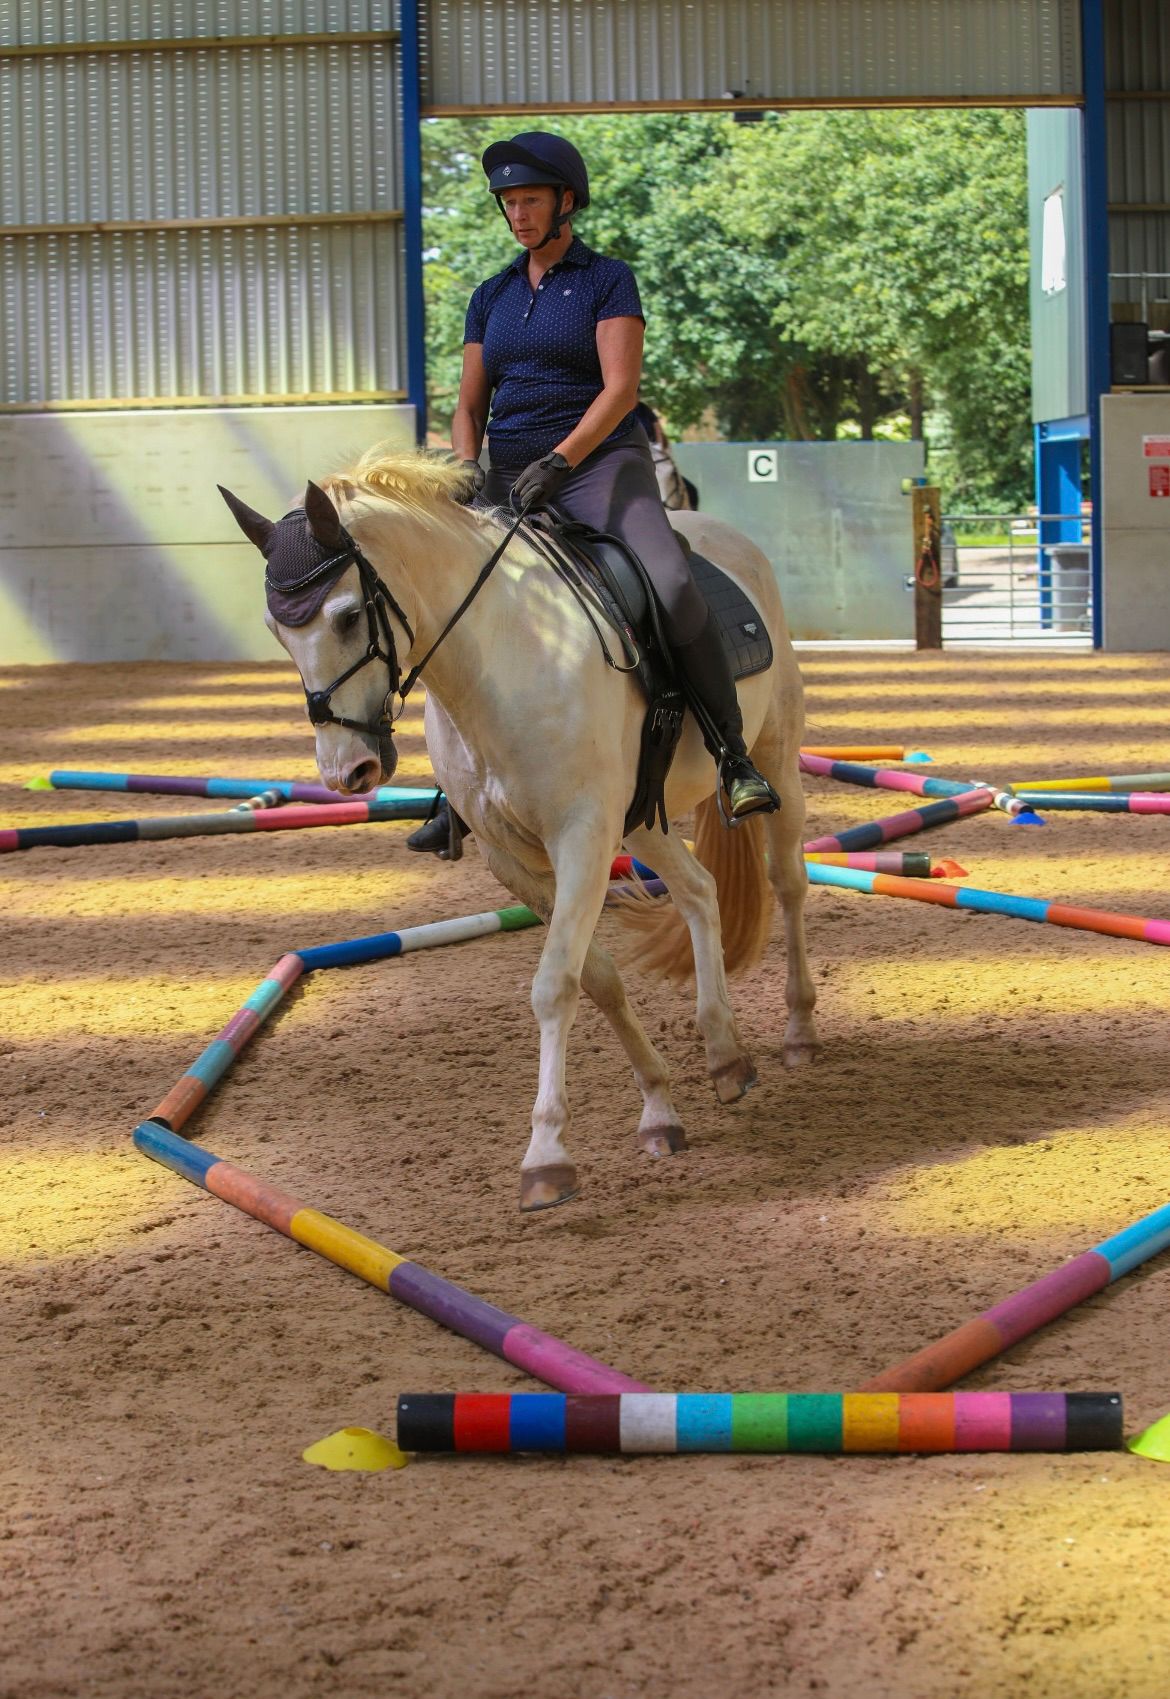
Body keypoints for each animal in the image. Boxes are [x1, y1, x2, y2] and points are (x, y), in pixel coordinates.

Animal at [219, 438, 811, 1209]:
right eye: (277, 631)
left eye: (347, 616)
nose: (346, 771)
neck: (499, 659)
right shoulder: (515, 854)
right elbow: (597, 977)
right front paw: (657, 1107)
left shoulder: (580, 836)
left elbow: (554, 984)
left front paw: (546, 1156)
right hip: (639, 819)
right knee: (700, 890)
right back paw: (725, 1056)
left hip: (774, 754)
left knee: (787, 880)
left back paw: (798, 1030)